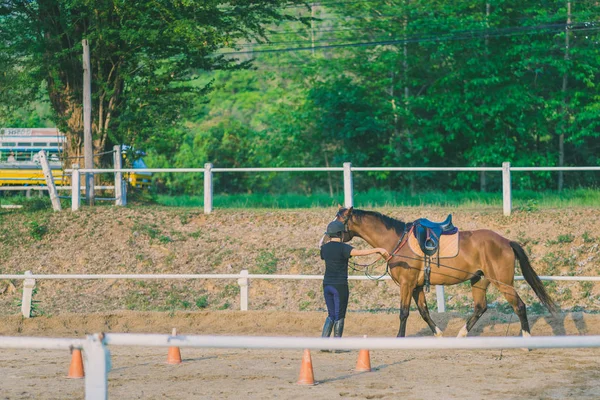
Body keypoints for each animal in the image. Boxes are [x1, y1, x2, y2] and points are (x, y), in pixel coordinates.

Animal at [338, 206, 556, 338]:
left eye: (338, 220)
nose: (330, 238)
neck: (398, 241)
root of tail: (506, 241)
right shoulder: (416, 287)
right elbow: (424, 312)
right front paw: (438, 334)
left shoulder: (407, 285)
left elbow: (403, 312)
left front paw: (400, 337)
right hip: (479, 281)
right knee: (480, 307)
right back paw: (461, 334)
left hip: (502, 282)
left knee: (519, 306)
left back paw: (526, 339)